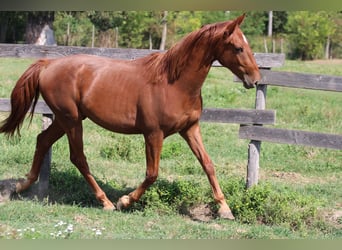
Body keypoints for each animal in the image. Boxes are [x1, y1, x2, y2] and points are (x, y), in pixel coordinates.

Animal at [0, 14, 260, 220]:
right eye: (238, 47)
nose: (255, 79)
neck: (174, 84)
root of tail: (48, 64)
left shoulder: (190, 128)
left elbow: (208, 165)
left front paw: (225, 210)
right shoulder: (153, 134)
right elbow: (152, 174)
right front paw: (124, 201)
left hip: (67, 120)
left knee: (43, 140)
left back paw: (20, 187)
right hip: (71, 120)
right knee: (78, 157)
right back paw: (105, 202)